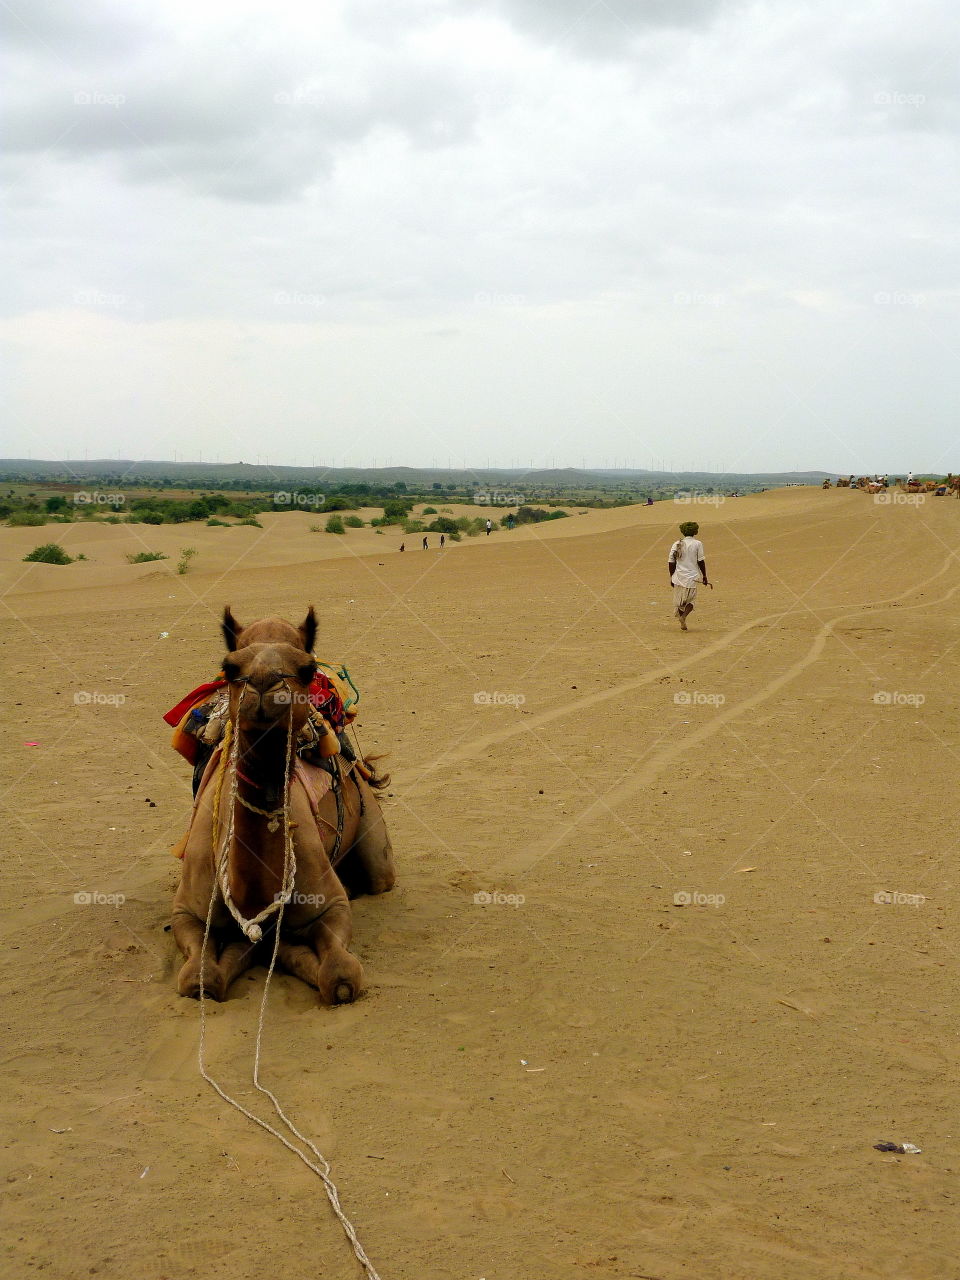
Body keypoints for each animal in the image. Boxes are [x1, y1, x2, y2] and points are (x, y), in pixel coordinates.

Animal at [171, 604, 394, 1003]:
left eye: (306, 669)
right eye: (230, 667)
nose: (264, 683)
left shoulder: (331, 906)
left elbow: (340, 978)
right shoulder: (187, 911)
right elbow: (200, 980)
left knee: (379, 875)